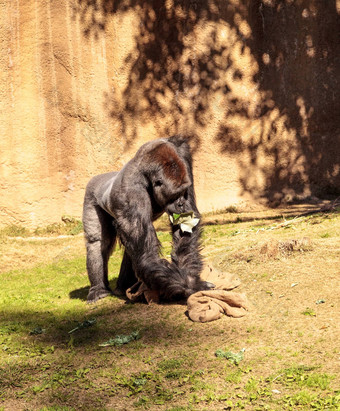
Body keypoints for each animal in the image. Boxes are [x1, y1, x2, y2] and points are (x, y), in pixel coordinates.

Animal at [82, 135, 214, 302]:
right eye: (174, 195)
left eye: (183, 191)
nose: (181, 204)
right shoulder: (131, 193)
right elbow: (147, 255)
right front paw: (192, 286)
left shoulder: (184, 157)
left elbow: (185, 227)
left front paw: (190, 277)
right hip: (91, 194)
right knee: (98, 242)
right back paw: (98, 289)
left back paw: (123, 287)